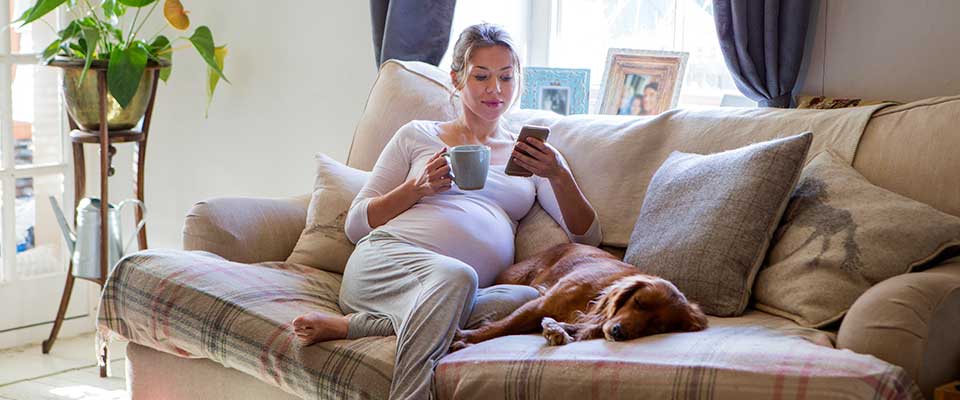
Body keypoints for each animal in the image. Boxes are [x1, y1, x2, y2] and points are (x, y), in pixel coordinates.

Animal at [450, 242, 704, 348]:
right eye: (638, 302)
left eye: (656, 328)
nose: (618, 332)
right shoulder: (539, 304)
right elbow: (501, 326)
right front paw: (466, 337)